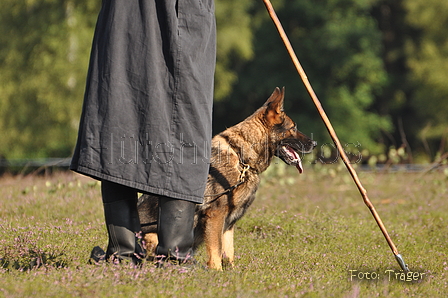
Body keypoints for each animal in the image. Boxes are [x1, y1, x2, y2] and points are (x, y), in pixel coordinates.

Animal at [138, 86, 316, 270]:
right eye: (293, 128)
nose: (315, 144)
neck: (242, 158)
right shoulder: (215, 215)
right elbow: (216, 248)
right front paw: (216, 271)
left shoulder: (228, 223)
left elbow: (228, 250)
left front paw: (231, 272)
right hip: (152, 236)